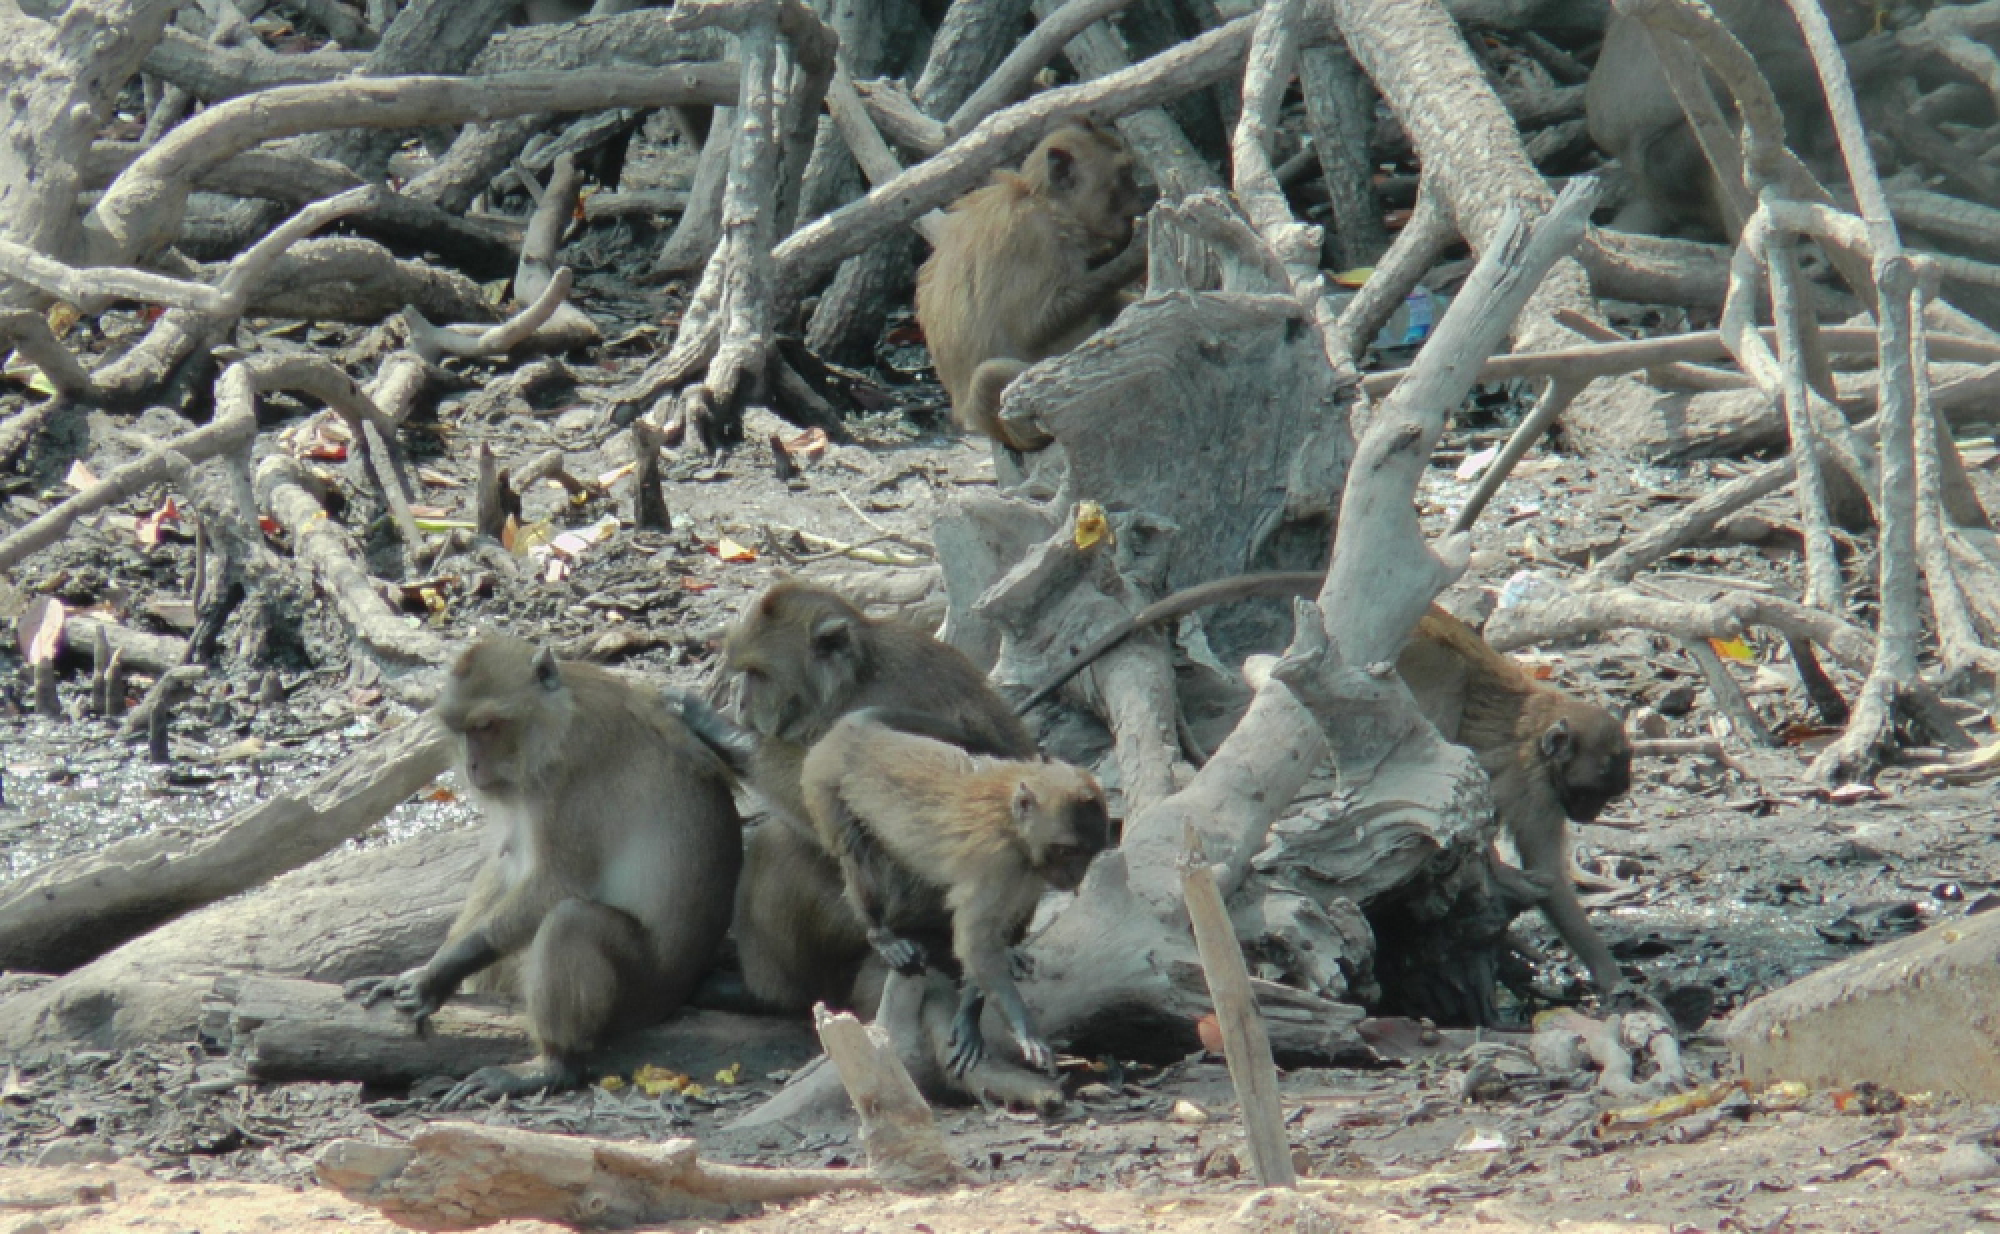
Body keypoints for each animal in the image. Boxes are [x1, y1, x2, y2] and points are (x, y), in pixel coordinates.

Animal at [345, 636, 741, 1102]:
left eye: (487, 726)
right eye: (462, 730)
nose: (472, 766)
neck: (553, 718)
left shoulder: (573, 772)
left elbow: (557, 884)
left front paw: (436, 975)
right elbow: (508, 864)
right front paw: (425, 970)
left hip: (644, 991)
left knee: (570, 921)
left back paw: (553, 1065)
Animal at [800, 709, 1110, 1074]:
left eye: (1088, 854)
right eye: (1068, 851)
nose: (1075, 875)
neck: (1010, 821)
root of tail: (854, 730)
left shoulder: (1027, 867)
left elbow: (991, 934)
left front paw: (968, 1015)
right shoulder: (997, 860)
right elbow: (975, 942)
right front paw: (1025, 1029)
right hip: (823, 781)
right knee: (856, 851)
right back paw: (882, 935)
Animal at [915, 120, 1151, 452]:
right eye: (1125, 174)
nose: (1141, 197)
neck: (1043, 201)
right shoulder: (1035, 237)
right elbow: (1031, 327)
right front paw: (1136, 252)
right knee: (988, 377)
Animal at [1013, 572, 1637, 999]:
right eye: (1594, 792)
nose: (1588, 816)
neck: (1545, 727)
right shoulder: (1536, 787)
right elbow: (1547, 876)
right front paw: (1610, 974)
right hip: (1409, 661)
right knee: (1447, 687)